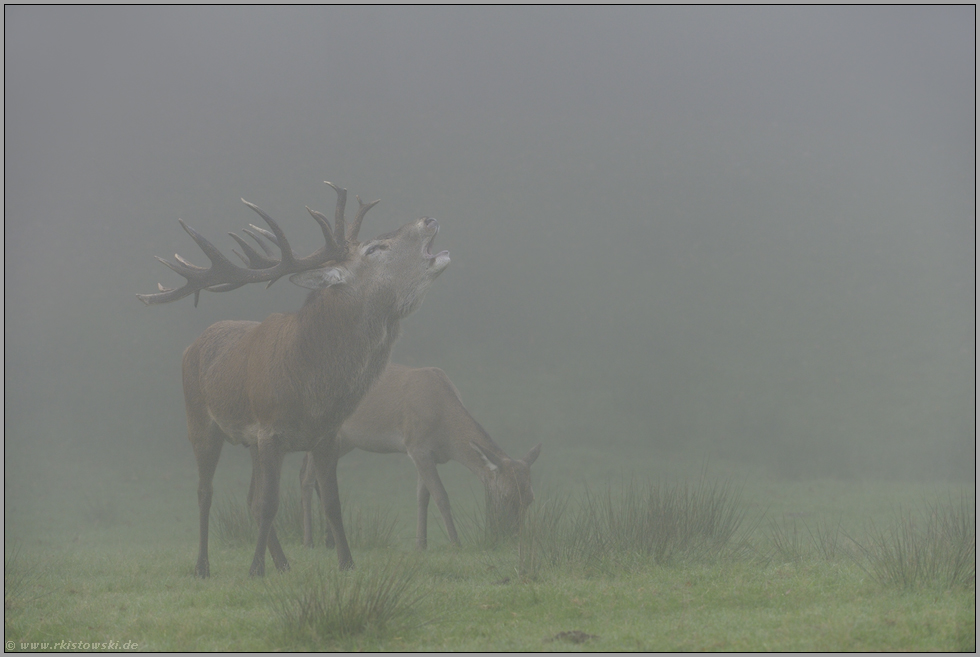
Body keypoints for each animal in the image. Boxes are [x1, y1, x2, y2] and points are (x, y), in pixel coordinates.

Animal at [139, 183, 452, 576]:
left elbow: (331, 502)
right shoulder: (270, 429)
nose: (428, 219)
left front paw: (347, 563)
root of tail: (191, 346)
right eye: (374, 248)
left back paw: (284, 564)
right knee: (205, 492)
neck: (312, 388)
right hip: (200, 421)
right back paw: (203, 566)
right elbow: (271, 503)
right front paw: (254, 569)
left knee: (249, 497)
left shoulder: (326, 435)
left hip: (249, 442)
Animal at [298, 364, 544, 548]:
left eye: (531, 498)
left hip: (344, 441)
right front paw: (455, 542)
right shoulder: (417, 446)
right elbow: (441, 496)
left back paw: (330, 540)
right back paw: (309, 540)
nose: (514, 536)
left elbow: (422, 496)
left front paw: (421, 544)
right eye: (505, 496)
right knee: (306, 478)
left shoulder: (427, 454)